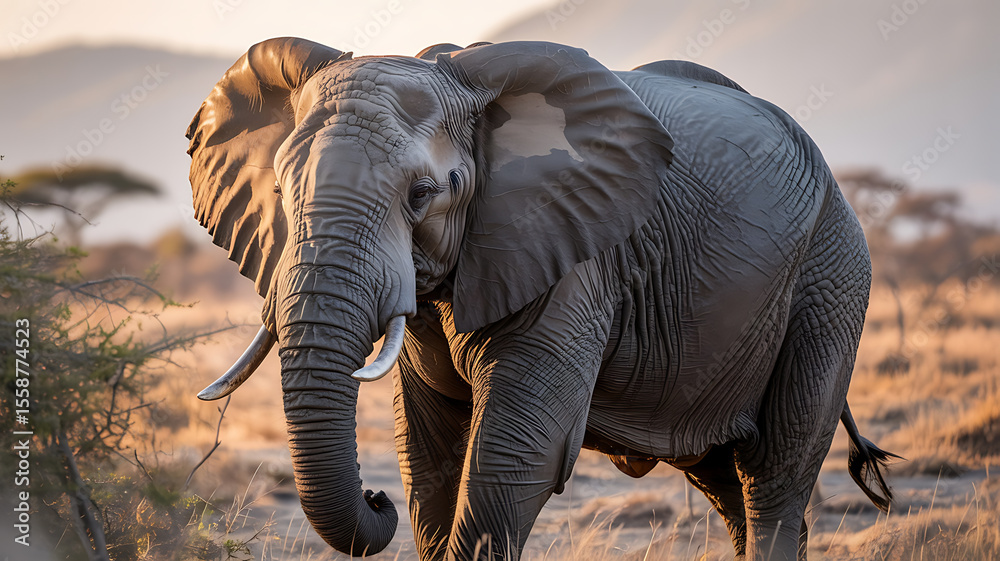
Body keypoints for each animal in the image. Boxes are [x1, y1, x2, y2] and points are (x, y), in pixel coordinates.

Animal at [185, 38, 897, 560]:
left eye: (422, 194)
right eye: (282, 191)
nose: (374, 499)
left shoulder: (575, 252)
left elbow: (517, 451)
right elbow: (428, 449)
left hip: (832, 274)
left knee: (774, 471)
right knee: (724, 478)